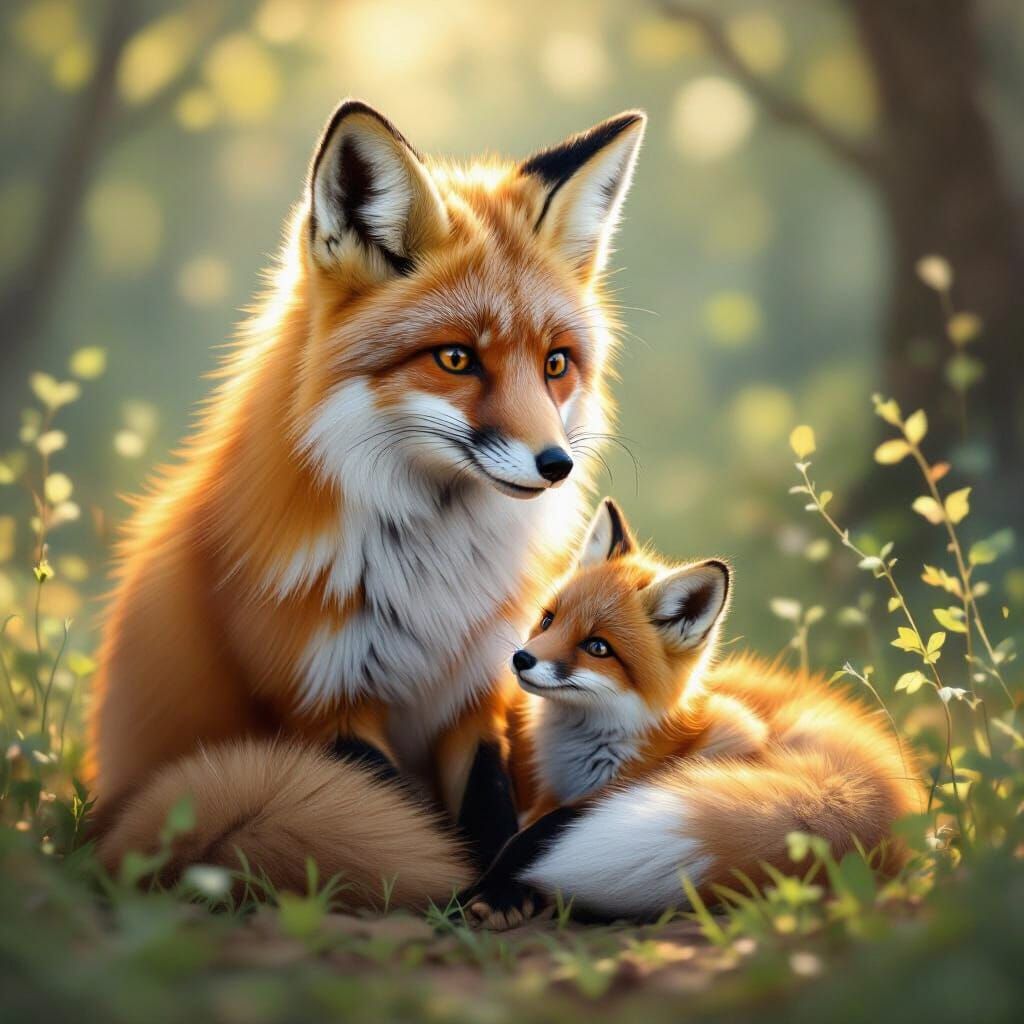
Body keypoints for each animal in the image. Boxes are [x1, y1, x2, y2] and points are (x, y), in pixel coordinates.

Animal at [89, 100, 648, 909]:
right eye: (456, 359)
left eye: (555, 364)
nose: (556, 465)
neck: (431, 574)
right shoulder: (323, 698)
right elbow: (404, 818)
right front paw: (456, 889)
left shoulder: (479, 683)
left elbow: (487, 801)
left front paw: (497, 891)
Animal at [464, 499, 922, 928]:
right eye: (548, 620)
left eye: (597, 647)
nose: (521, 659)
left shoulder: (735, 729)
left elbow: (544, 827)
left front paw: (499, 888)